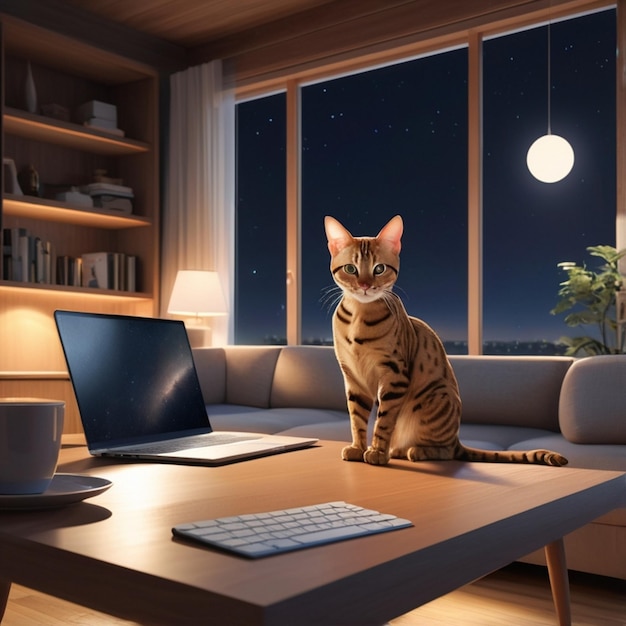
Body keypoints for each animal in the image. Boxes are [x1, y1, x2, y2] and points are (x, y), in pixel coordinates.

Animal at [324, 212, 568, 466]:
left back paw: (413, 451)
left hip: (435, 397)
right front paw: (357, 448)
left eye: (379, 268)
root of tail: (458, 439)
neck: (359, 318)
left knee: (446, 450)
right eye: (350, 269)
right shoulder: (352, 377)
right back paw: (398, 450)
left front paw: (377, 452)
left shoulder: (394, 375)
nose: (364, 285)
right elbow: (357, 419)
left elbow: (384, 421)